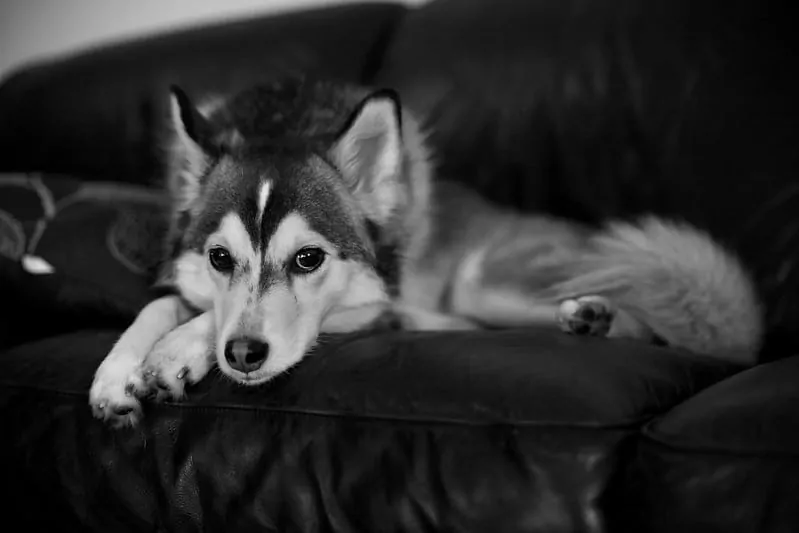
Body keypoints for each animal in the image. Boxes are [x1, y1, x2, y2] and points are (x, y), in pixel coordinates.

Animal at [87, 75, 764, 426]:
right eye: (221, 259)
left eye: (309, 259)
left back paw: (595, 314)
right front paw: (117, 374)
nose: (245, 356)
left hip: (485, 280)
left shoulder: (365, 307)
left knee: (650, 325)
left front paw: (177, 353)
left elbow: (202, 320)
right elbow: (161, 305)